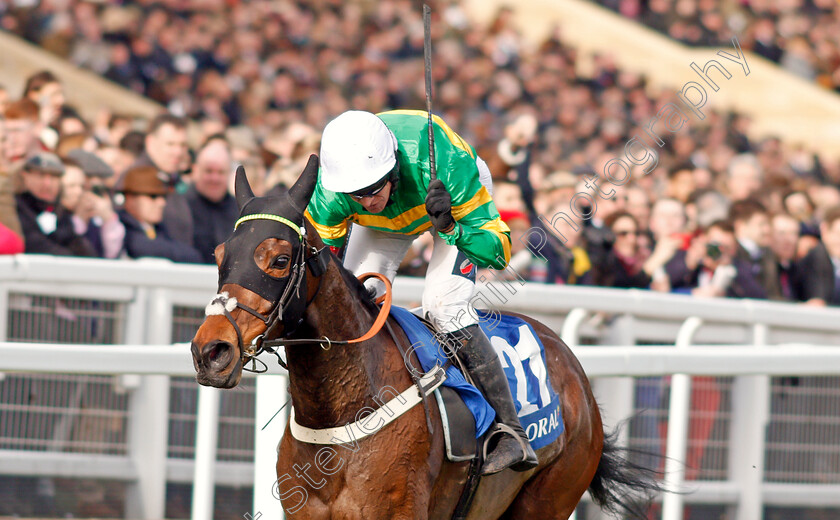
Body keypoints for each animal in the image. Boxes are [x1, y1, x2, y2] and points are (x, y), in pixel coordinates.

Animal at [192, 155, 664, 520]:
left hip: (550, 495)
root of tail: (571, 363)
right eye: (218, 255)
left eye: (279, 259)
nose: (210, 351)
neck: (341, 416)